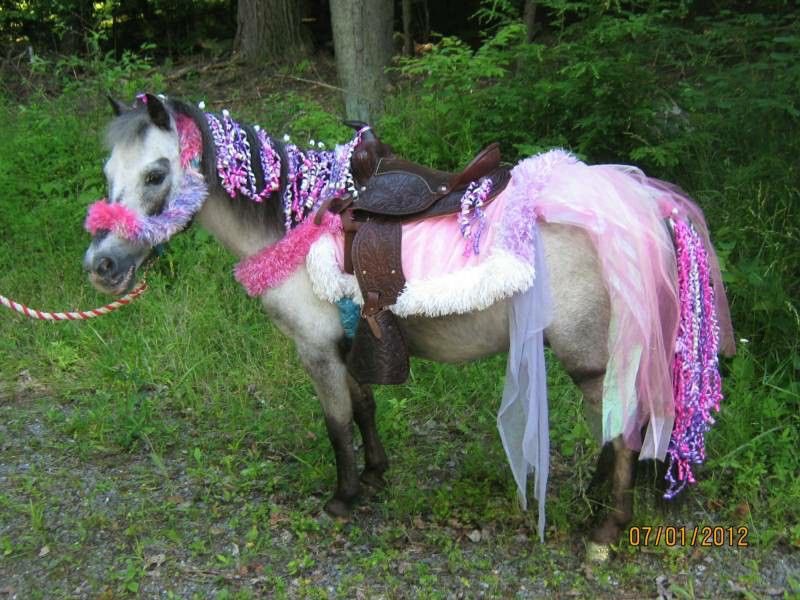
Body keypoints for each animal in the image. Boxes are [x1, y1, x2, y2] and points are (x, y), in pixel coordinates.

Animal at [83, 94, 734, 559]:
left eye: (157, 175)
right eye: (109, 171)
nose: (102, 266)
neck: (298, 222)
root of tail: (647, 204)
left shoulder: (316, 350)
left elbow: (336, 423)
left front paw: (343, 498)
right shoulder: (347, 344)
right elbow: (364, 407)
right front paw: (375, 475)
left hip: (590, 354)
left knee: (624, 425)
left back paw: (605, 531)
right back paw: (598, 499)